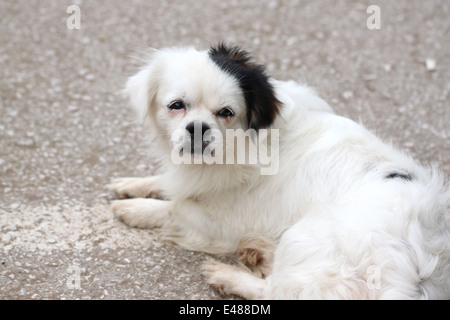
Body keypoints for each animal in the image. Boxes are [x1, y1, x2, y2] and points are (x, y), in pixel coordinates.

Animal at [110, 43, 450, 298]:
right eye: (176, 106)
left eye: (226, 113)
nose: (197, 128)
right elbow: (168, 185)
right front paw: (132, 184)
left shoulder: (223, 223)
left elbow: (175, 207)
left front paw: (135, 209)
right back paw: (260, 252)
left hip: (307, 232)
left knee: (280, 291)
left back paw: (228, 275)